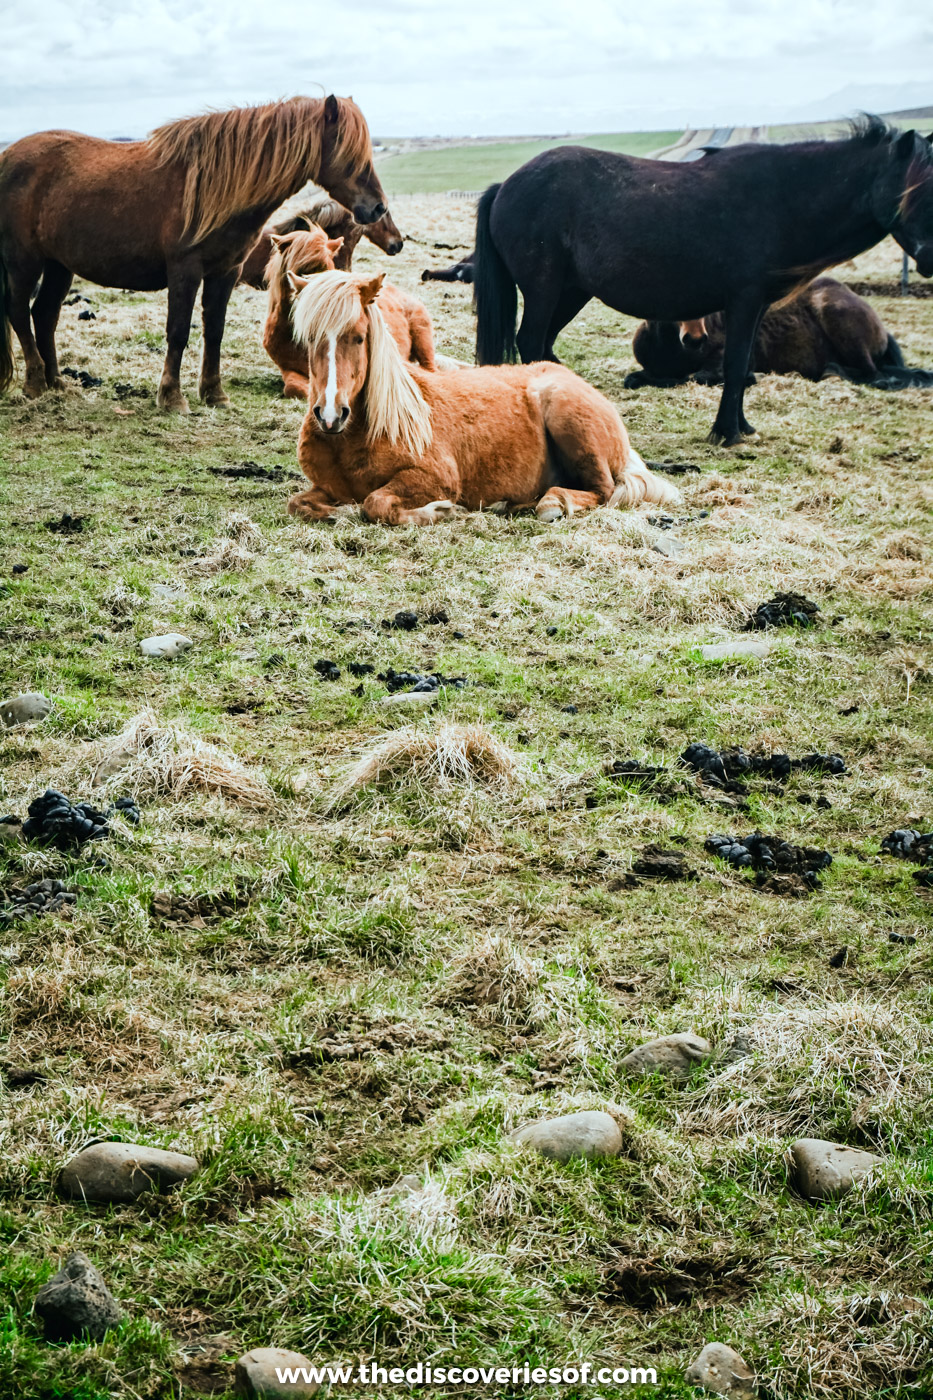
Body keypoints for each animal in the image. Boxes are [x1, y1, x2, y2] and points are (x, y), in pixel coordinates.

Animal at [283, 270, 680, 526]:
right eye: (309, 338)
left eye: (359, 337)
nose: (330, 415)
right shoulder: (325, 487)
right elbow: (298, 503)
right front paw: (336, 513)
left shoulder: (435, 477)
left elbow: (375, 503)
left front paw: (440, 511)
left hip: (569, 420)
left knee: (603, 491)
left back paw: (552, 503)